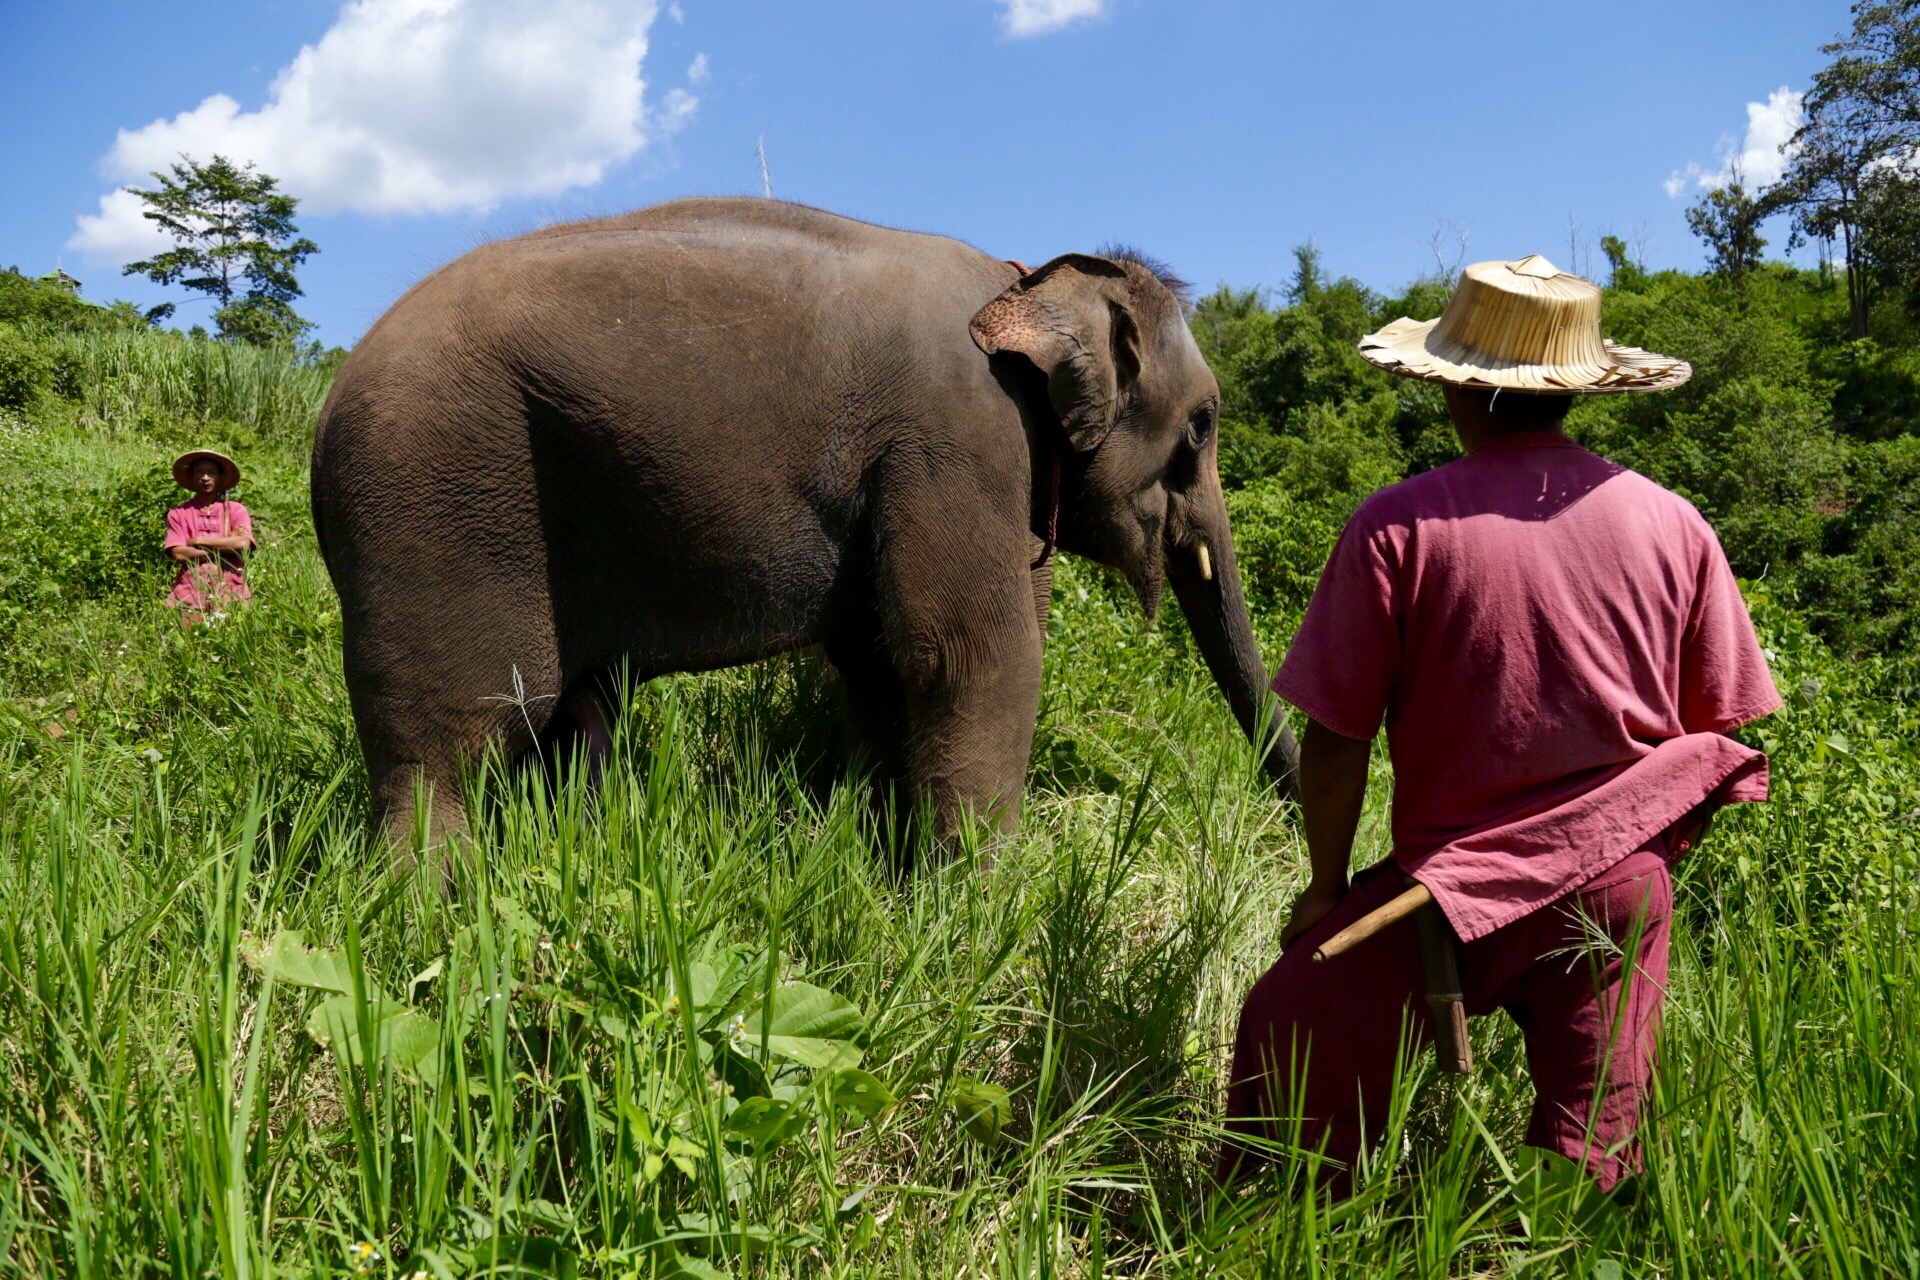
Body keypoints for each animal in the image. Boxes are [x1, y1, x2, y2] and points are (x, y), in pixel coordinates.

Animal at [311, 197, 1305, 852]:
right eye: (1204, 425)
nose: (1294, 848)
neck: (1025, 279)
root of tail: (321, 412)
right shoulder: (961, 437)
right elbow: (971, 655)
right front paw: (983, 914)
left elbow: (879, 661)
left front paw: (881, 860)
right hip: (432, 497)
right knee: (454, 746)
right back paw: (431, 925)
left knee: (575, 727)